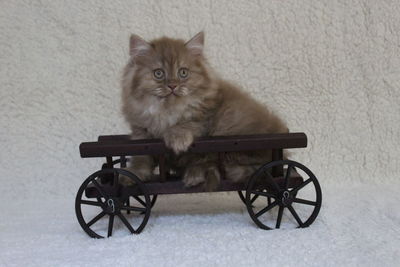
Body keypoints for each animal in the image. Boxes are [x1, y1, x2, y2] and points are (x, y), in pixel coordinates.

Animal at [121, 31, 288, 191]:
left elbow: (185, 127)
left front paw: (177, 141)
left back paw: (194, 176)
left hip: (227, 125)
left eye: (183, 72)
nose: (173, 86)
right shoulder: (141, 134)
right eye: (158, 73)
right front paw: (132, 176)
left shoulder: (203, 120)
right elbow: (141, 158)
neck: (167, 111)